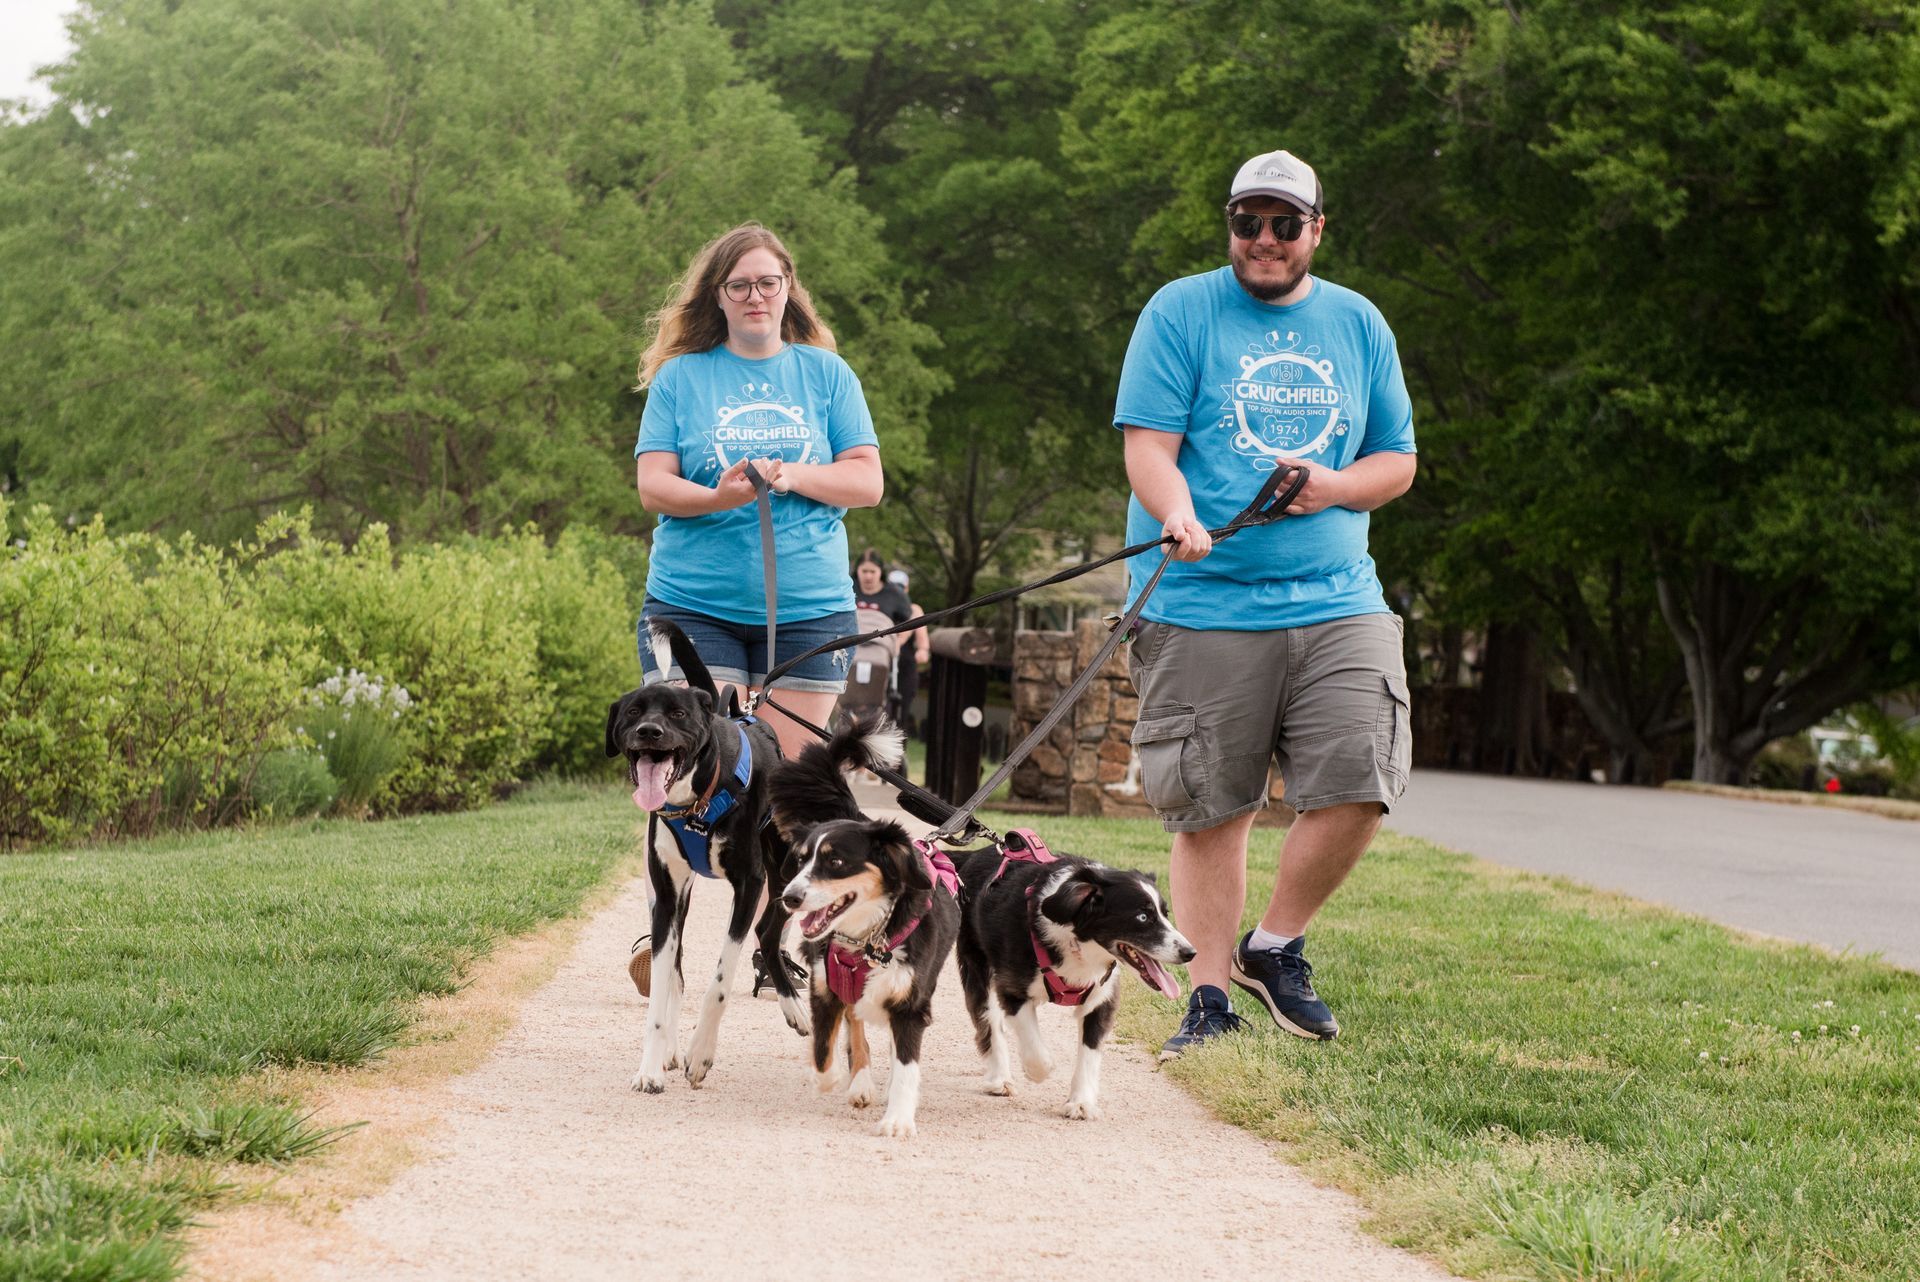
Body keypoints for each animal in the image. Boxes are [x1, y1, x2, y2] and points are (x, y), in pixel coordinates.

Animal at [606, 621, 802, 1090]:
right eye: (633, 713)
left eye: (677, 715)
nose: (649, 732)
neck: (696, 801)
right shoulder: (666, 896)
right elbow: (663, 987)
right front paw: (651, 1066)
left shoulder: (749, 885)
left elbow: (720, 979)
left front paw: (700, 1054)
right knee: (685, 969)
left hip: (786, 873)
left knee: (768, 933)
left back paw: (794, 1008)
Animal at [768, 721, 960, 1143]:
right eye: (801, 860)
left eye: (836, 862)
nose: (789, 898)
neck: (865, 939)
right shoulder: (824, 988)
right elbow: (824, 1052)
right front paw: (834, 1078)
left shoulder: (910, 1003)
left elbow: (905, 1067)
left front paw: (898, 1119)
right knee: (854, 1027)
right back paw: (859, 1082)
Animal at [944, 836, 1182, 1113]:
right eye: (1142, 917)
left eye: (1165, 914)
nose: (1190, 952)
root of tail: (971, 856)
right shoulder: (1012, 987)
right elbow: (1035, 1047)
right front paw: (1038, 1071)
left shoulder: (1102, 995)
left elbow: (1090, 1051)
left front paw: (1081, 1102)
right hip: (976, 960)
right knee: (988, 1018)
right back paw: (1000, 1078)